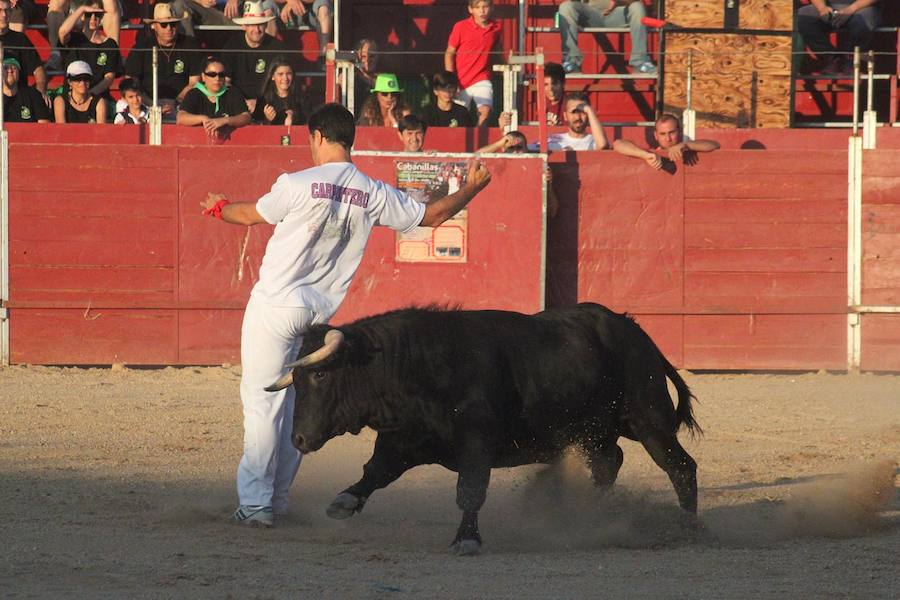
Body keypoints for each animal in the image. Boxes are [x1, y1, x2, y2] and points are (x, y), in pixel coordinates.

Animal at [264, 302, 700, 556]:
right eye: (296, 380)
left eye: (320, 374)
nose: (298, 439)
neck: (415, 364)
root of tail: (635, 331)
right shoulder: (402, 440)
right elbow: (375, 472)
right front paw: (344, 501)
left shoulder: (476, 444)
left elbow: (470, 491)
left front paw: (467, 538)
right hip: (595, 432)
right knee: (609, 463)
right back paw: (593, 514)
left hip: (648, 419)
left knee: (679, 466)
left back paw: (688, 528)